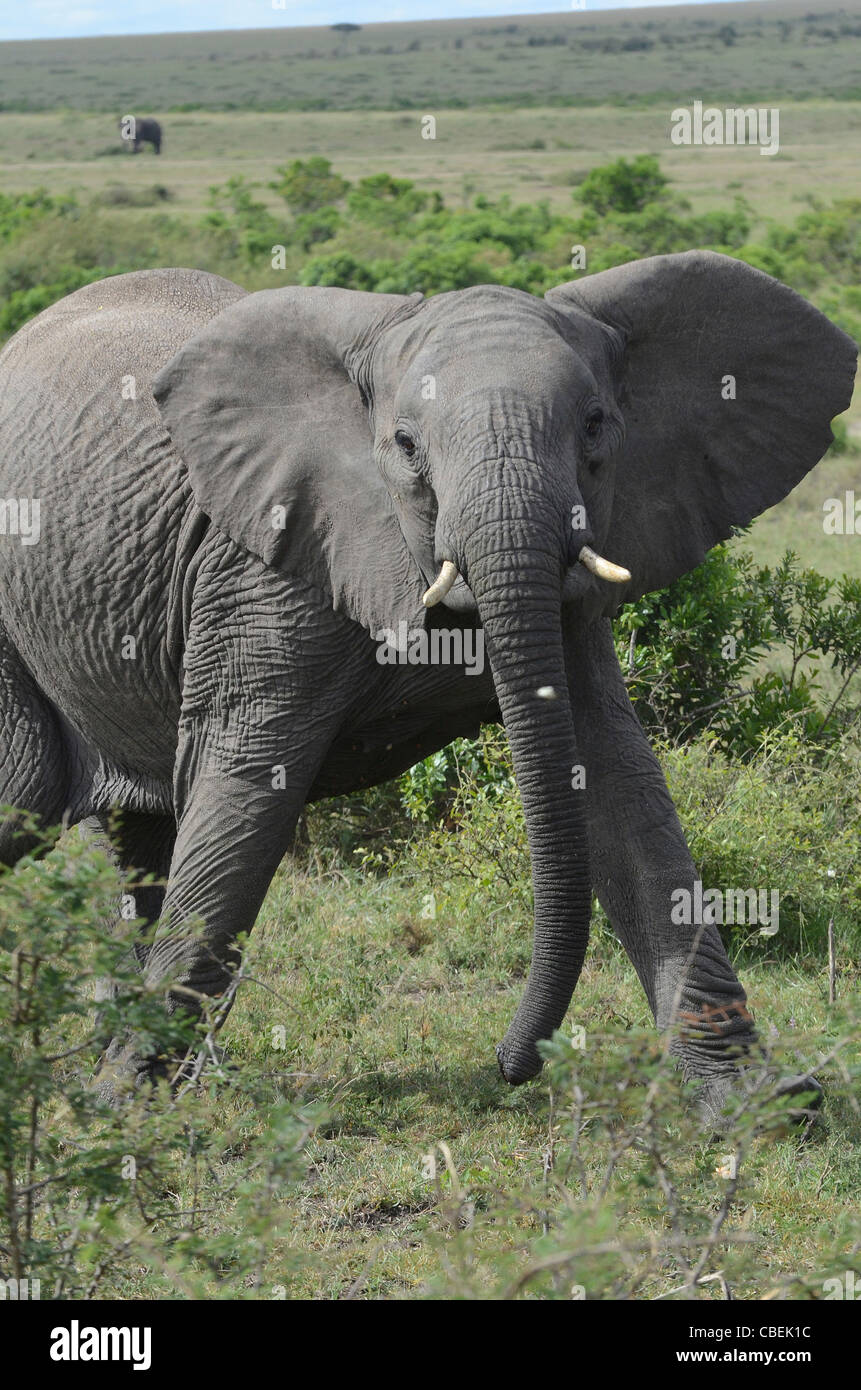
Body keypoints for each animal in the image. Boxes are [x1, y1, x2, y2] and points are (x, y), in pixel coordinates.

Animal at [0, 254, 854, 1123]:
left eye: (594, 427)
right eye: (406, 446)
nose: (514, 1065)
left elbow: (617, 781)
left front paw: (762, 1108)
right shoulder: (260, 574)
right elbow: (242, 793)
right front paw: (118, 1105)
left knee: (136, 837)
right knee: (29, 796)